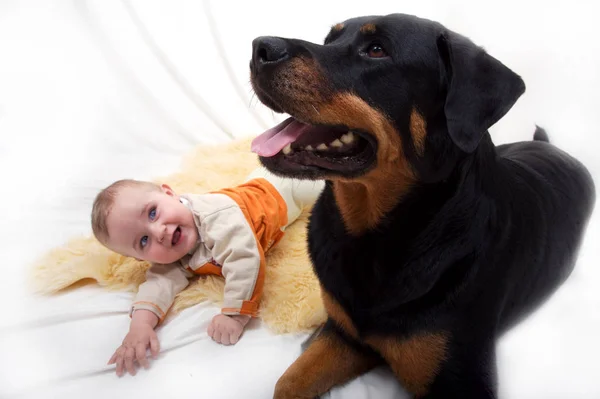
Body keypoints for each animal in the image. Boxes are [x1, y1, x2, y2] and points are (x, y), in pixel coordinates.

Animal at [248, 12, 596, 399]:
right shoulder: (344, 335)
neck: (373, 236)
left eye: (376, 50)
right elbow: (288, 382)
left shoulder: (460, 379)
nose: (260, 48)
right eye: (329, 39)